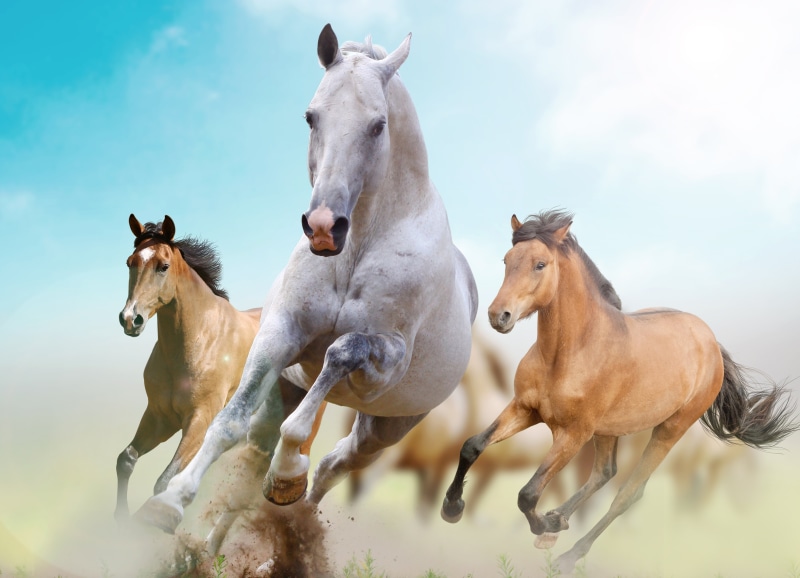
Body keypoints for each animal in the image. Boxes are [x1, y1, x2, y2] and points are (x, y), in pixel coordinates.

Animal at [117, 215, 325, 553]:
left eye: (163, 266)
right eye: (130, 262)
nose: (130, 319)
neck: (198, 339)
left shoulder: (199, 420)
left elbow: (164, 480)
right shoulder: (160, 418)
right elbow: (126, 460)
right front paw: (119, 522)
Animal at [135, 24, 478, 535]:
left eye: (378, 125)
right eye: (311, 117)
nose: (322, 227)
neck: (357, 249)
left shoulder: (384, 361)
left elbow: (339, 355)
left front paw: (287, 471)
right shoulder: (281, 334)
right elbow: (229, 422)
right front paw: (170, 502)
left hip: (385, 427)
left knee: (335, 465)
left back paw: (291, 504)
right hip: (289, 389)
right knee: (256, 459)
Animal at [441, 209, 797, 571]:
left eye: (540, 264)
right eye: (507, 259)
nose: (498, 315)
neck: (569, 352)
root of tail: (711, 342)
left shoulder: (573, 434)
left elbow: (527, 493)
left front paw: (544, 524)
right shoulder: (525, 409)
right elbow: (472, 446)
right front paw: (452, 508)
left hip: (668, 430)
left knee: (628, 492)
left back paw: (568, 553)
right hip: (609, 430)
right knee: (604, 473)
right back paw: (558, 523)